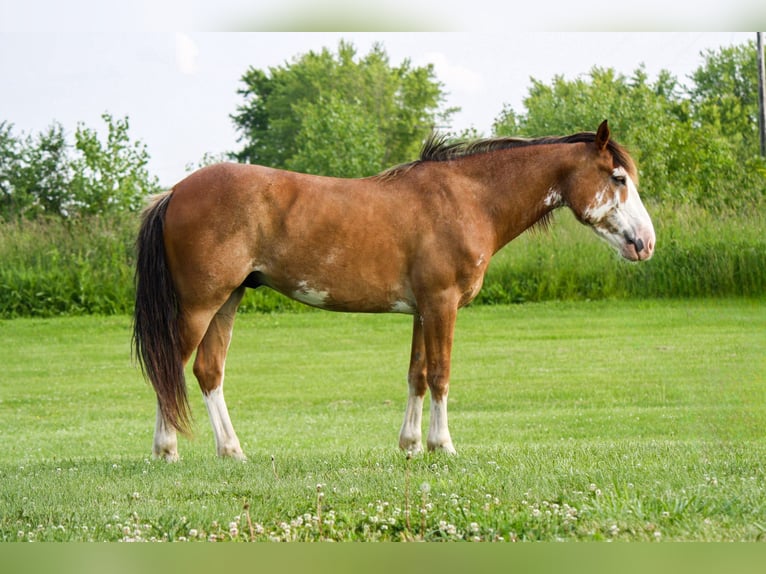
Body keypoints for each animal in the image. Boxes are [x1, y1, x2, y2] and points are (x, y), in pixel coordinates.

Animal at [133, 120, 655, 461]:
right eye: (617, 178)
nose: (645, 243)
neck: (469, 198)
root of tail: (175, 192)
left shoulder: (423, 309)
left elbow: (417, 375)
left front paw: (410, 446)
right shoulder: (442, 304)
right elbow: (441, 374)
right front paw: (443, 446)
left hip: (228, 300)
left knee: (207, 371)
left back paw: (232, 451)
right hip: (200, 305)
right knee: (169, 367)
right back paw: (166, 450)